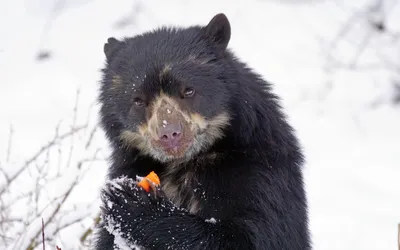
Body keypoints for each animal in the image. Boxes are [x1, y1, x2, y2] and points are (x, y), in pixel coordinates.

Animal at [94, 13, 312, 250]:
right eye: (138, 100)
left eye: (189, 90)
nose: (169, 134)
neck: (185, 163)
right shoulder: (130, 164)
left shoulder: (259, 170)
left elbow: (254, 236)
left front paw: (130, 202)